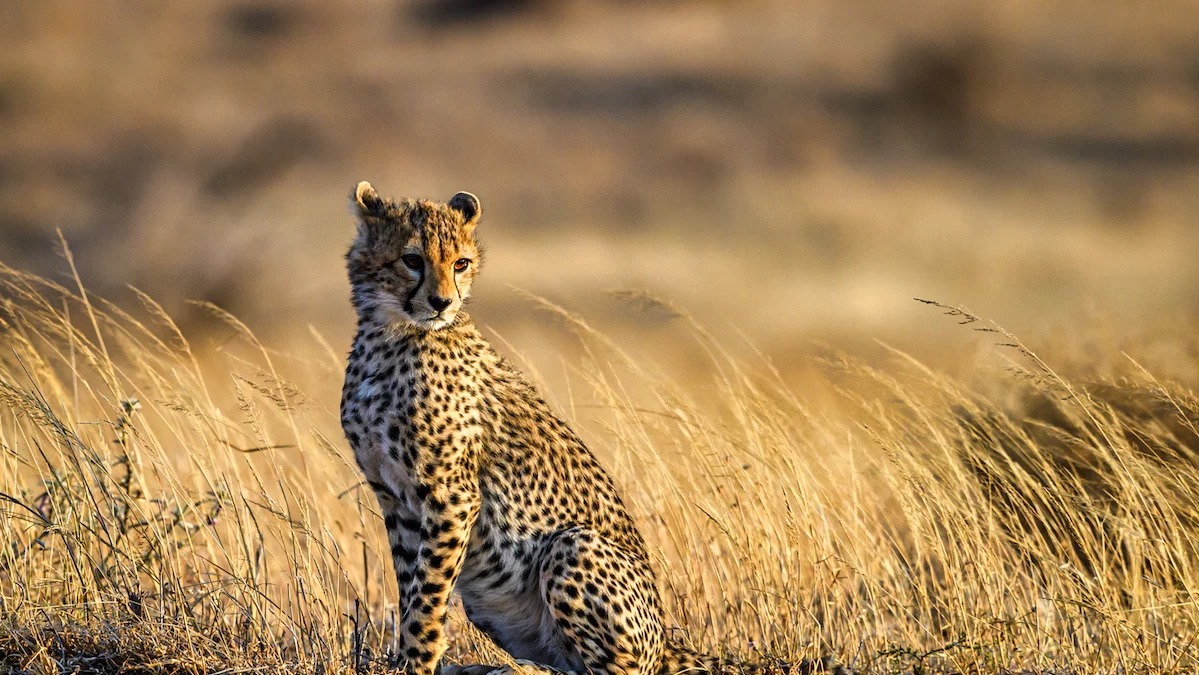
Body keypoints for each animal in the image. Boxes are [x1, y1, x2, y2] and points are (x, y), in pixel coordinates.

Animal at [339, 181, 849, 675]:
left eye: (460, 263)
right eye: (412, 260)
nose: (443, 302)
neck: (391, 334)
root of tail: (666, 642)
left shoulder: (451, 495)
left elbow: (427, 599)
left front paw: (416, 662)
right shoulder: (396, 498)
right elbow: (412, 589)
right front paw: (410, 656)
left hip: (572, 545)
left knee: (610, 670)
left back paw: (515, 671)